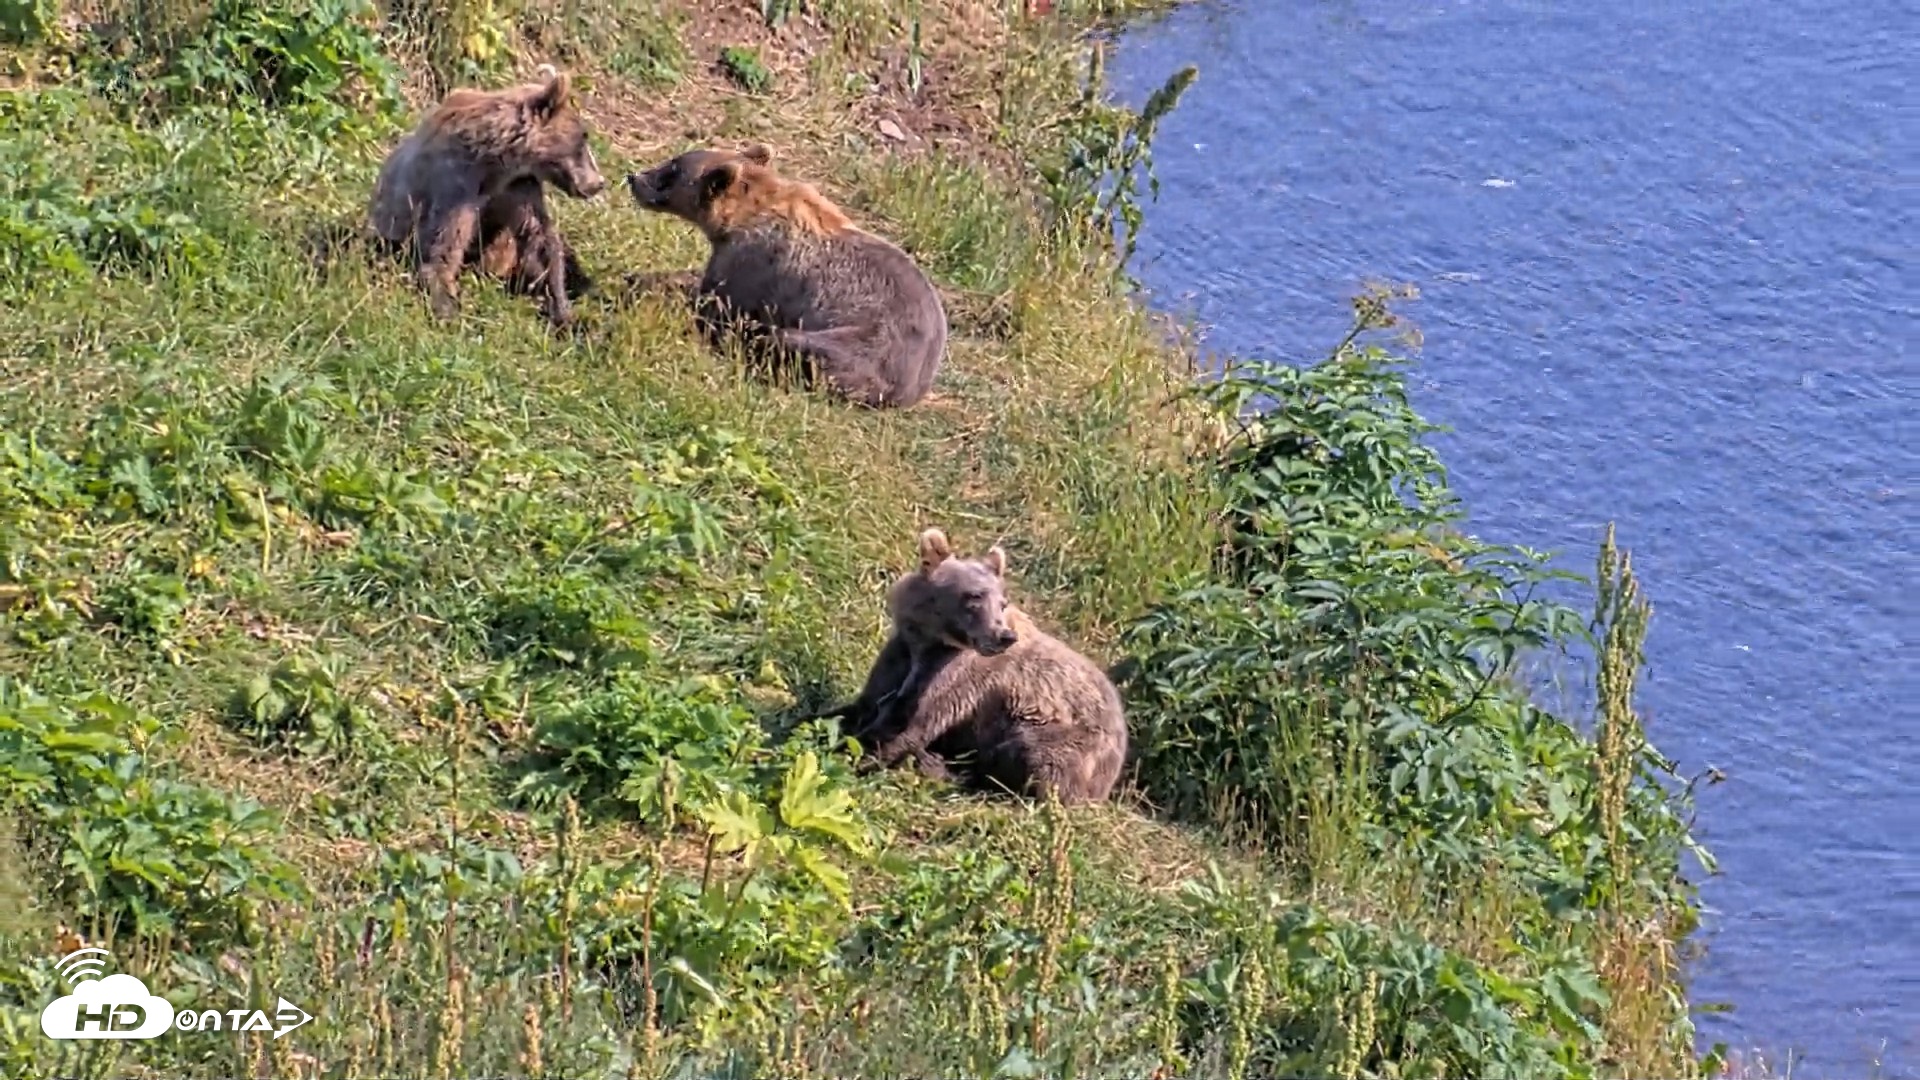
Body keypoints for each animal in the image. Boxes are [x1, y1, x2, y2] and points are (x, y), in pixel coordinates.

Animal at [367, 66, 605, 327]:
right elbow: (441, 247)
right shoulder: (455, 186)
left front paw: (564, 311)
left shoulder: (516, 186)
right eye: (583, 137)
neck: (495, 160)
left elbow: (540, 239)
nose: (598, 183)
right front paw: (447, 307)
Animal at [623, 144, 948, 409]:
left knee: (788, 343)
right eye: (672, 161)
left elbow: (718, 306)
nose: (633, 177)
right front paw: (642, 277)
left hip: (865, 344)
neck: (739, 219)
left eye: (672, 169)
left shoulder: (753, 264)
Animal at [829, 528, 1130, 805]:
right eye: (974, 596)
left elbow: (912, 721)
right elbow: (868, 703)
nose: (1004, 636)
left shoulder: (957, 677)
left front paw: (862, 756)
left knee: (1025, 759)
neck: (927, 639)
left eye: (1002, 603)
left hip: (1061, 736)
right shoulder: (900, 655)